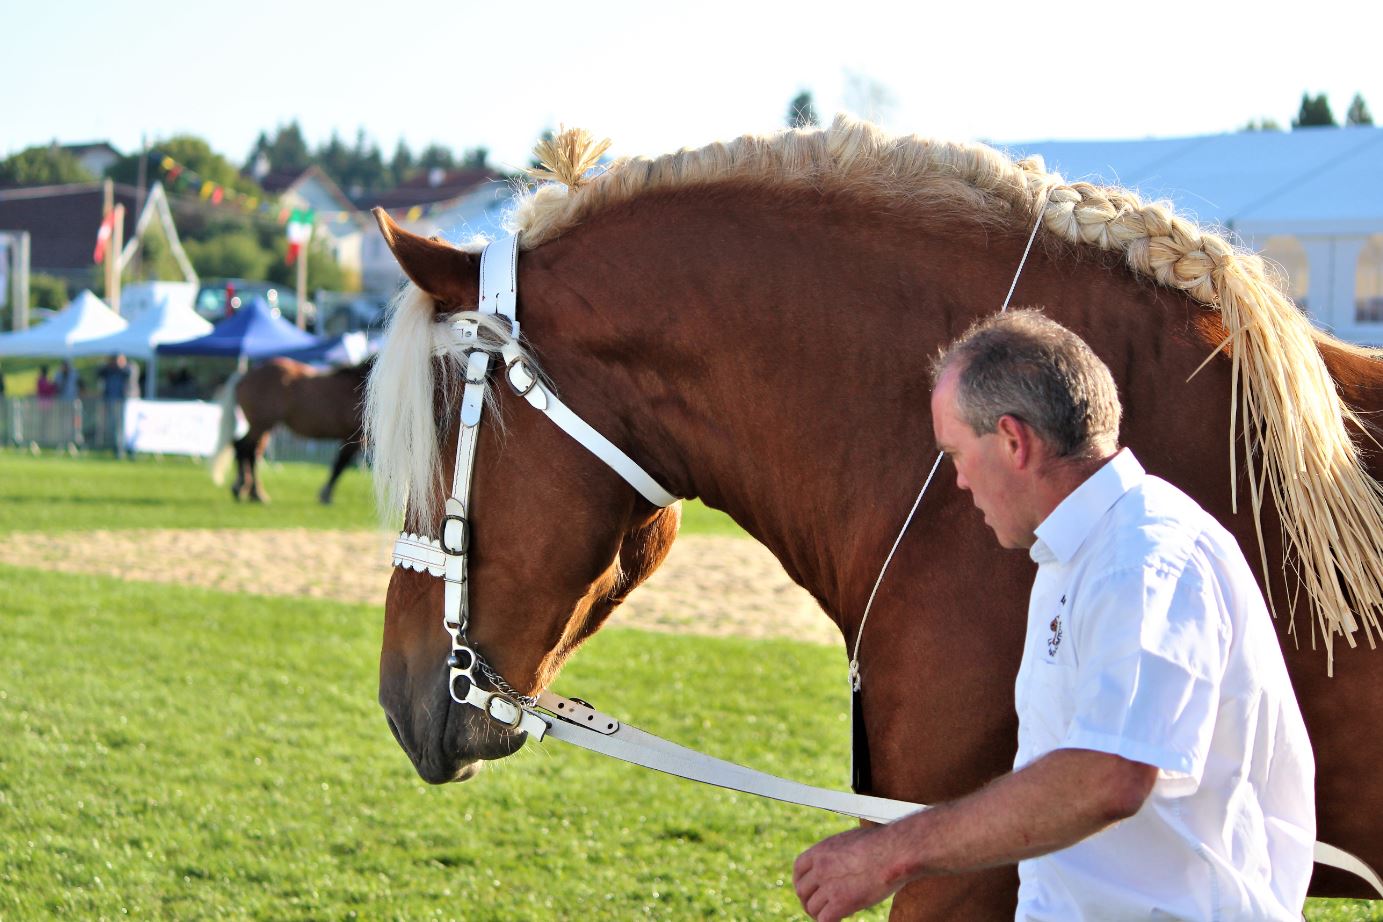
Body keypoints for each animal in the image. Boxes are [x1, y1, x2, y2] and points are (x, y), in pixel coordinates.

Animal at [210, 359, 367, 505]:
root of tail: (246, 374)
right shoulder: (355, 437)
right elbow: (340, 465)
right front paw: (326, 494)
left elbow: (340, 464)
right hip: (261, 425)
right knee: (248, 451)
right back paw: (255, 492)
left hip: (261, 427)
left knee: (242, 448)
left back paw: (242, 488)